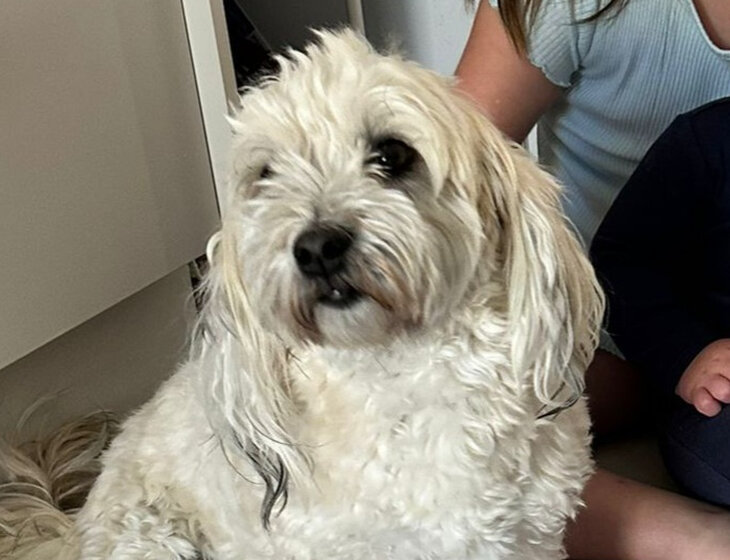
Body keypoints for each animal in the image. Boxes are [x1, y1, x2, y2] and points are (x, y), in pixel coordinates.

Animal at [0, 29, 603, 560]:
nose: (315, 248)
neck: (405, 378)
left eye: (392, 154)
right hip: (151, 540)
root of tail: (75, 524)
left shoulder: (527, 538)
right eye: (266, 173)